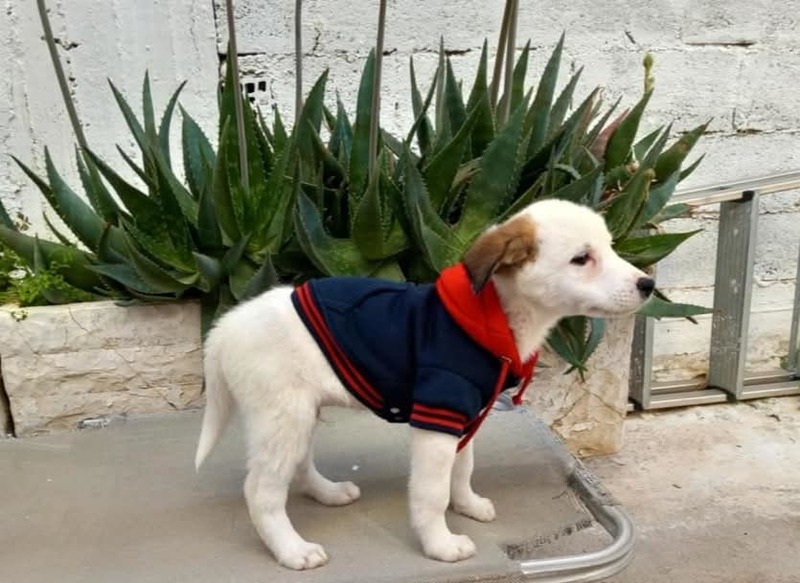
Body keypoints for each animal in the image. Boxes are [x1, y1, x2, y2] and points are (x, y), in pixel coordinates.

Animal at [194, 199, 655, 570]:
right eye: (582, 258)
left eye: (610, 247)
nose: (648, 284)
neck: (494, 316)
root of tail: (225, 326)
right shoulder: (438, 418)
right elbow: (432, 494)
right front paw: (441, 545)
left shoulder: (468, 415)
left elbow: (462, 470)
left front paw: (467, 505)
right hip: (282, 417)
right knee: (262, 491)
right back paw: (292, 550)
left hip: (300, 413)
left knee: (299, 464)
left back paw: (328, 492)